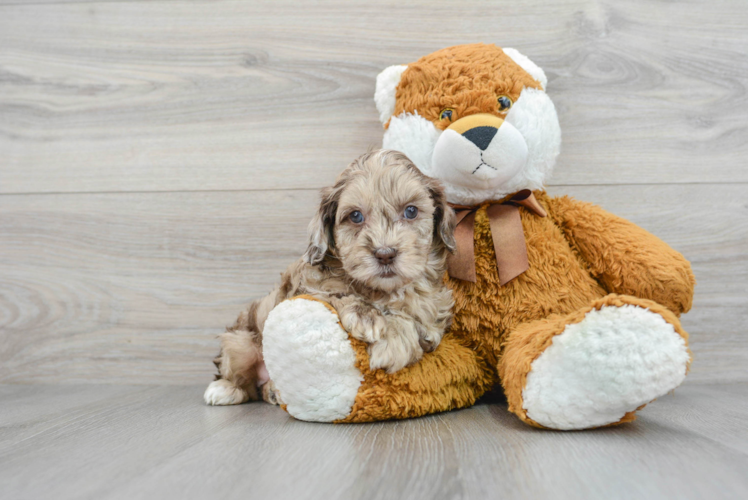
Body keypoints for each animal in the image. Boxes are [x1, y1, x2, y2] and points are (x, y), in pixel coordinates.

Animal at [207, 149, 458, 406]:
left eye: (411, 211)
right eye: (355, 216)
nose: (385, 254)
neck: (381, 291)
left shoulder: (432, 315)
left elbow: (413, 318)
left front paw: (392, 341)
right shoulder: (308, 286)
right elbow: (335, 290)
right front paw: (366, 316)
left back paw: (273, 391)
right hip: (242, 341)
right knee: (239, 377)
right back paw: (225, 389)